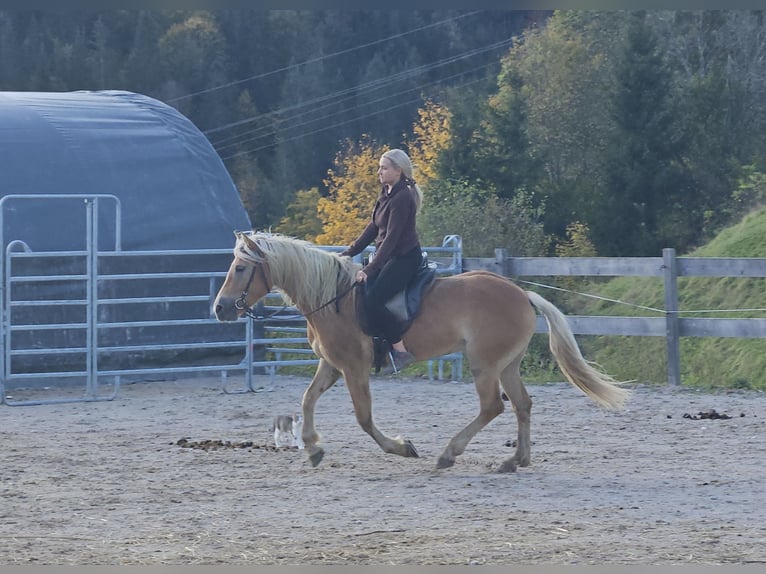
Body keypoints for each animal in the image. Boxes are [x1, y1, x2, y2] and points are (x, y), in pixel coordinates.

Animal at [214, 232, 632, 474]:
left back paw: (449, 454)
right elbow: (307, 399)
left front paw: (401, 447)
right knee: (522, 405)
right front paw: (314, 449)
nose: (219, 308)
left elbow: (364, 418)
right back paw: (515, 460)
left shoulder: (353, 367)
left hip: (484, 365)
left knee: (492, 407)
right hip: (507, 364)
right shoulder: (331, 365)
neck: (333, 299)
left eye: (240, 268)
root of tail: (521, 294)